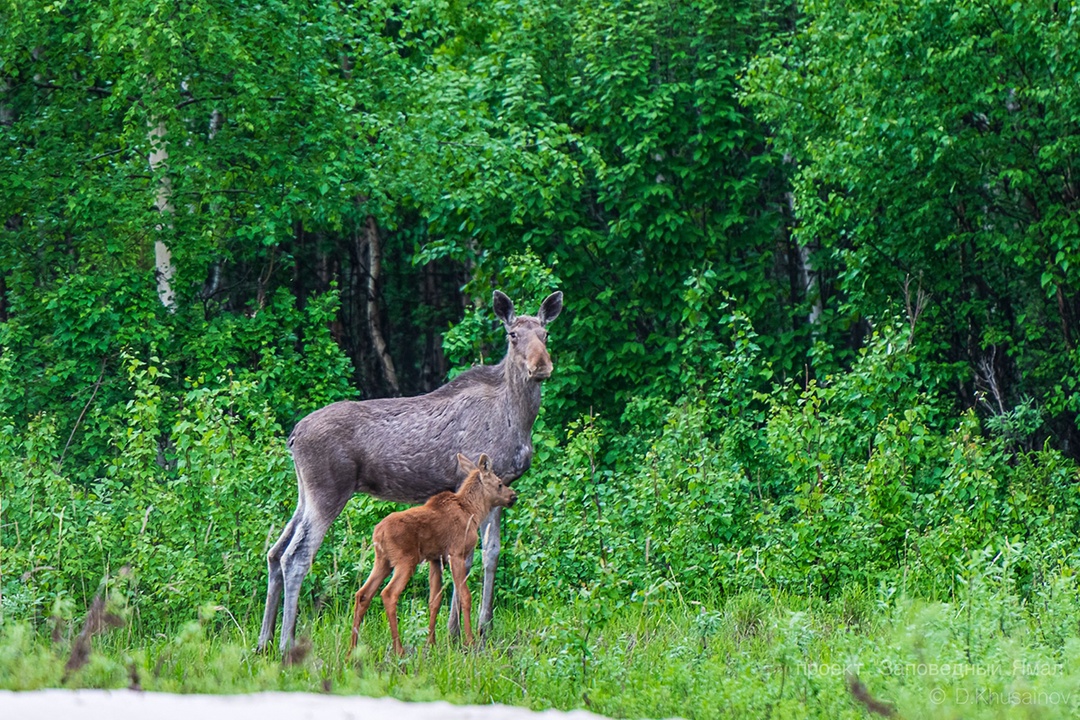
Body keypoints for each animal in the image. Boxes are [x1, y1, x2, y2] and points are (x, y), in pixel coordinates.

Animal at [345, 453, 514, 656]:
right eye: (499, 484)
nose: (513, 496)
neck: (473, 512)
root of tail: (378, 534)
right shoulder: (456, 553)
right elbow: (465, 596)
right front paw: (470, 641)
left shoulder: (434, 559)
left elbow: (435, 600)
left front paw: (431, 643)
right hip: (406, 561)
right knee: (389, 594)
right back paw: (399, 649)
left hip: (383, 561)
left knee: (363, 594)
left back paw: (352, 649)